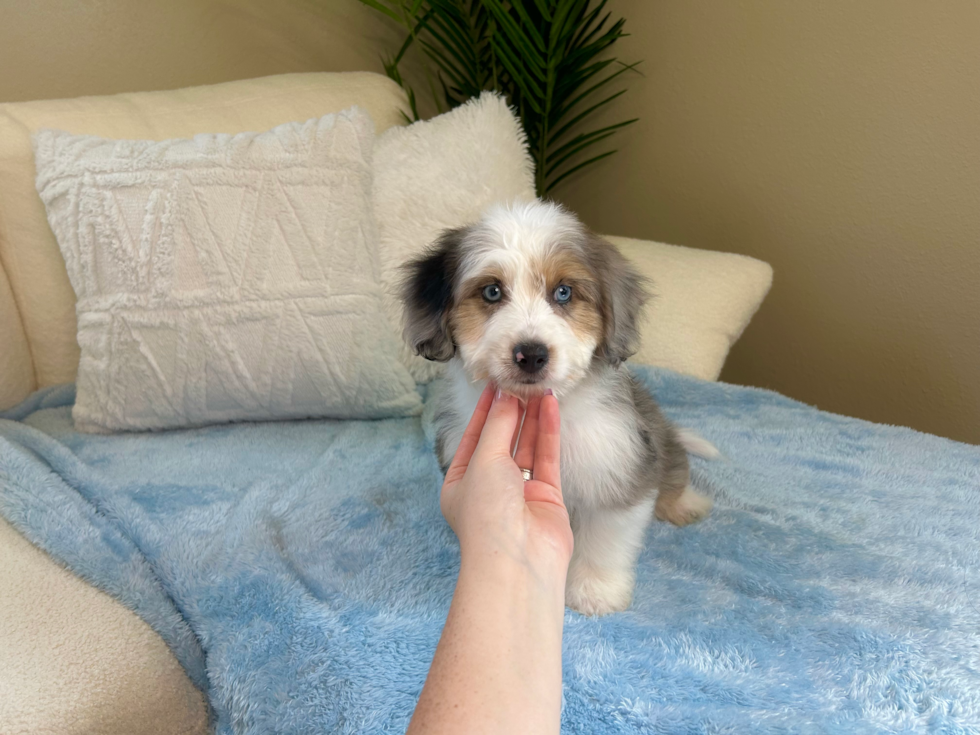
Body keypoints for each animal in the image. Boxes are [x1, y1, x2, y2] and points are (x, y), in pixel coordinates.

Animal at [398, 200, 712, 616]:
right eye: (492, 291)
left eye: (563, 292)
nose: (531, 354)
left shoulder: (618, 465)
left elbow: (604, 538)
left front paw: (594, 590)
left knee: (675, 472)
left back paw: (685, 503)